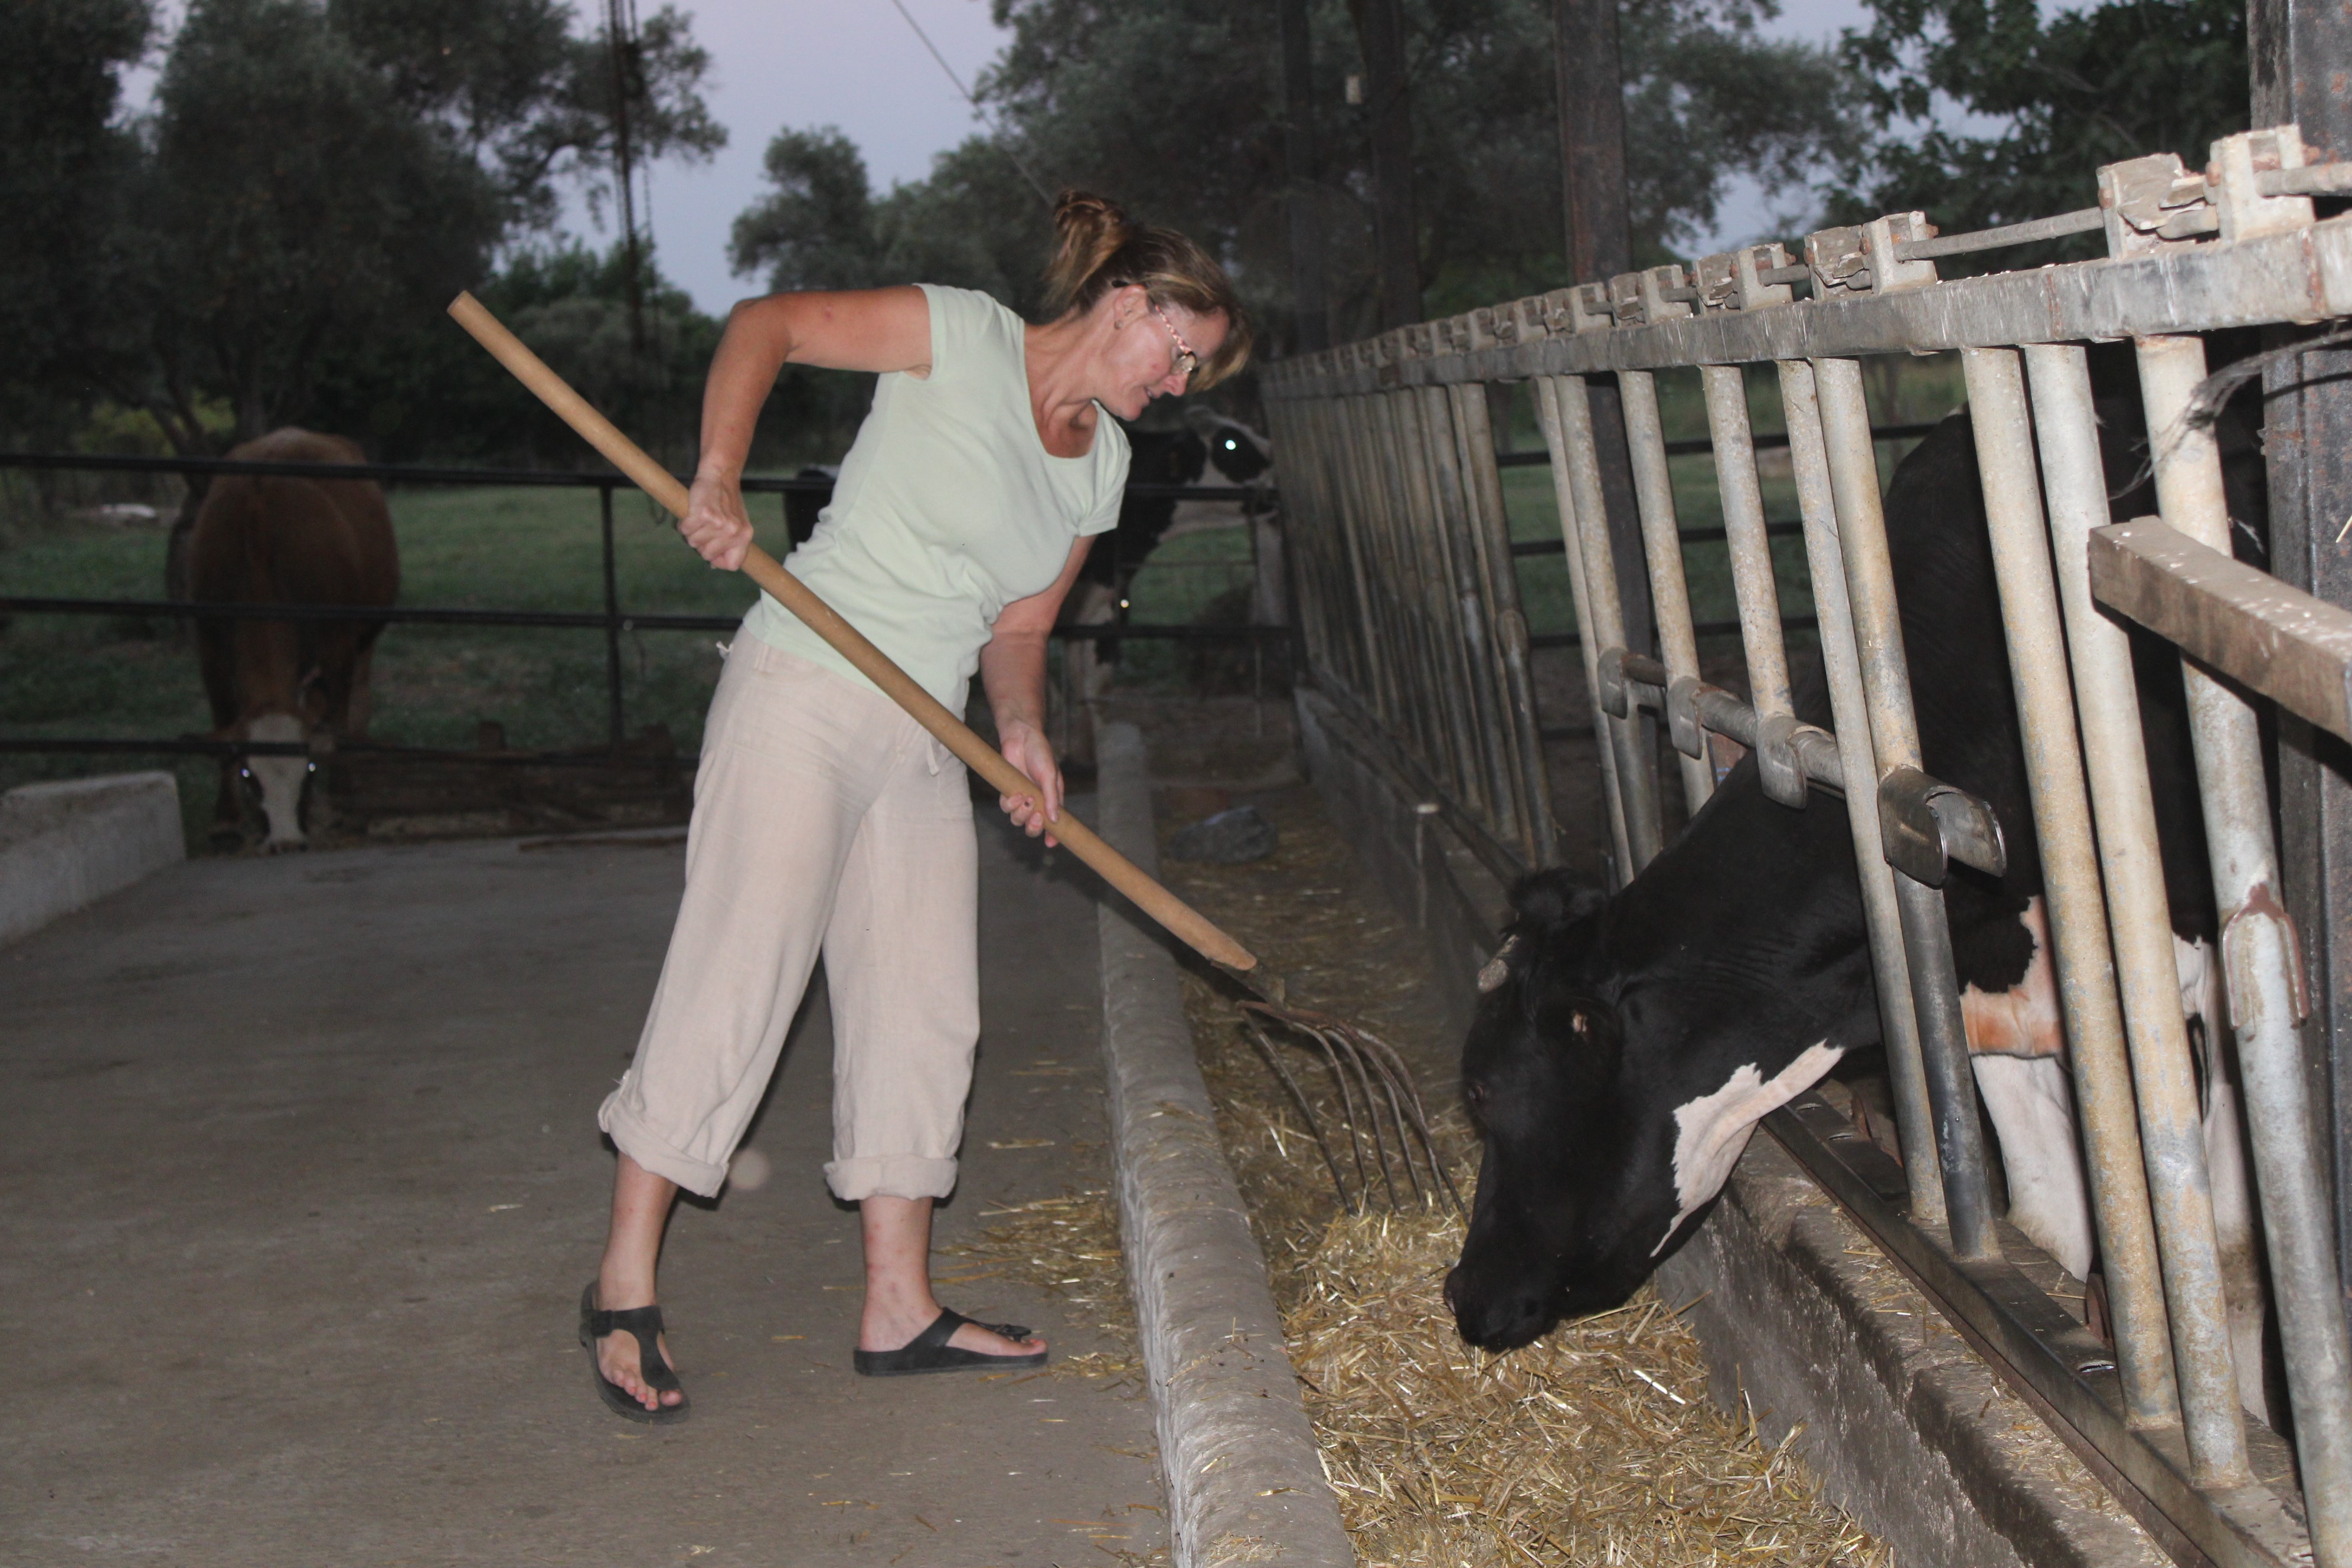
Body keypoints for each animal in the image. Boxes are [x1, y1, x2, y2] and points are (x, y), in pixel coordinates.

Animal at [192, 425, 400, 846]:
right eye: (249, 776)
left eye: (309, 771)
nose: (285, 841)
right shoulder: (209, 645)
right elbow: (223, 722)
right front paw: (227, 817)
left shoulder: (338, 644)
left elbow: (335, 723)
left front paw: (337, 801)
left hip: (366, 635)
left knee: (358, 702)